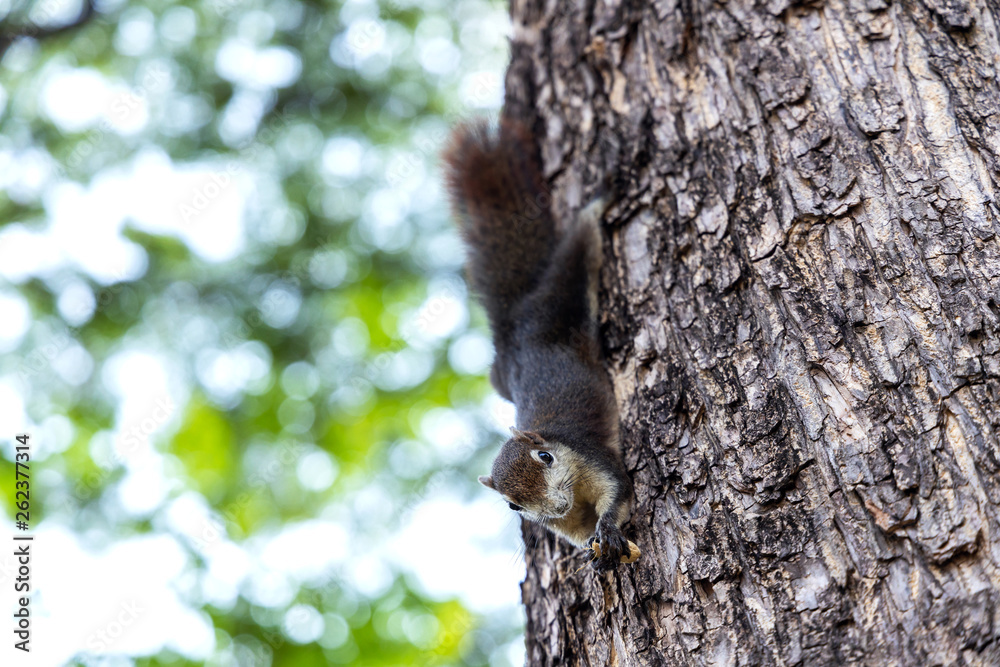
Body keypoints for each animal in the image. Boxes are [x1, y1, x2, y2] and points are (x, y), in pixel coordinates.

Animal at [442, 118, 634, 571]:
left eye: (545, 458)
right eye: (512, 505)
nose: (556, 506)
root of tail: (514, 329)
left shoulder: (592, 456)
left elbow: (618, 491)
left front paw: (607, 529)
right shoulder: (564, 523)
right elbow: (577, 534)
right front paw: (590, 548)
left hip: (558, 304)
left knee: (577, 248)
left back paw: (601, 197)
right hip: (501, 378)